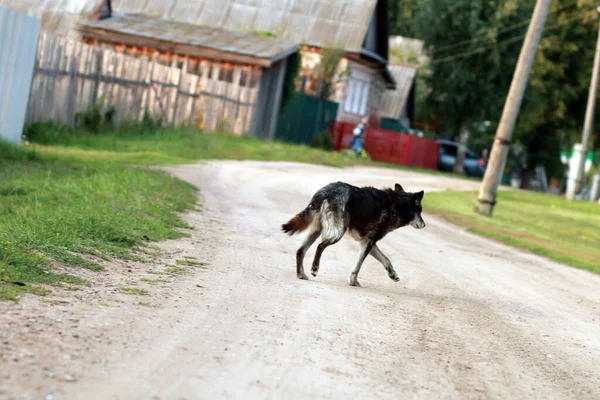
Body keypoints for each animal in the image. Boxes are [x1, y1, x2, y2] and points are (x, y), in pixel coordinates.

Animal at [282, 181, 426, 288]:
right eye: (420, 211)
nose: (424, 225)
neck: (398, 205)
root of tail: (324, 192)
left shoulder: (368, 242)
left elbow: (386, 260)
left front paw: (393, 275)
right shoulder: (368, 243)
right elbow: (358, 265)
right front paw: (353, 281)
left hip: (317, 231)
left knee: (300, 251)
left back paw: (301, 274)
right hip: (337, 233)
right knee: (320, 246)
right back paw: (314, 269)